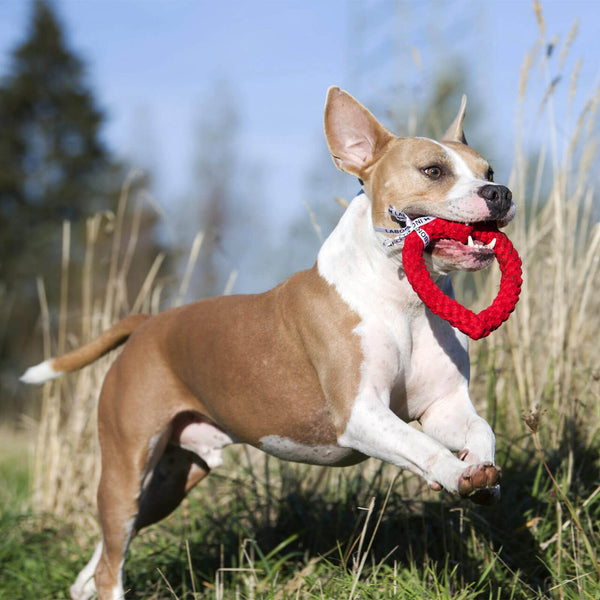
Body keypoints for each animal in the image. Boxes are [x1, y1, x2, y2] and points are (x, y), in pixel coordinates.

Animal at [22, 88, 516, 600]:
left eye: (488, 171)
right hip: (127, 465)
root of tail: (149, 324)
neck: (404, 300)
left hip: (166, 484)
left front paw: (482, 472)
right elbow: (419, 446)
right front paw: (453, 473)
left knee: (103, 556)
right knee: (110, 562)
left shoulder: (444, 407)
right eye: (433, 171)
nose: (500, 193)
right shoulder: (361, 414)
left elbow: (480, 430)